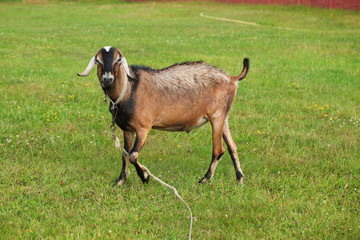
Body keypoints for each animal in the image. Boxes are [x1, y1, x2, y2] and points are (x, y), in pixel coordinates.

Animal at [77, 47, 249, 185]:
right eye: (98, 60)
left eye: (118, 60)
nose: (107, 79)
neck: (129, 90)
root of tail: (232, 79)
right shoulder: (127, 129)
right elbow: (125, 154)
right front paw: (120, 181)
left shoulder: (143, 128)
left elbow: (133, 155)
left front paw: (145, 176)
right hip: (224, 118)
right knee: (232, 147)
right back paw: (239, 178)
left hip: (216, 117)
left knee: (219, 150)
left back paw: (204, 179)